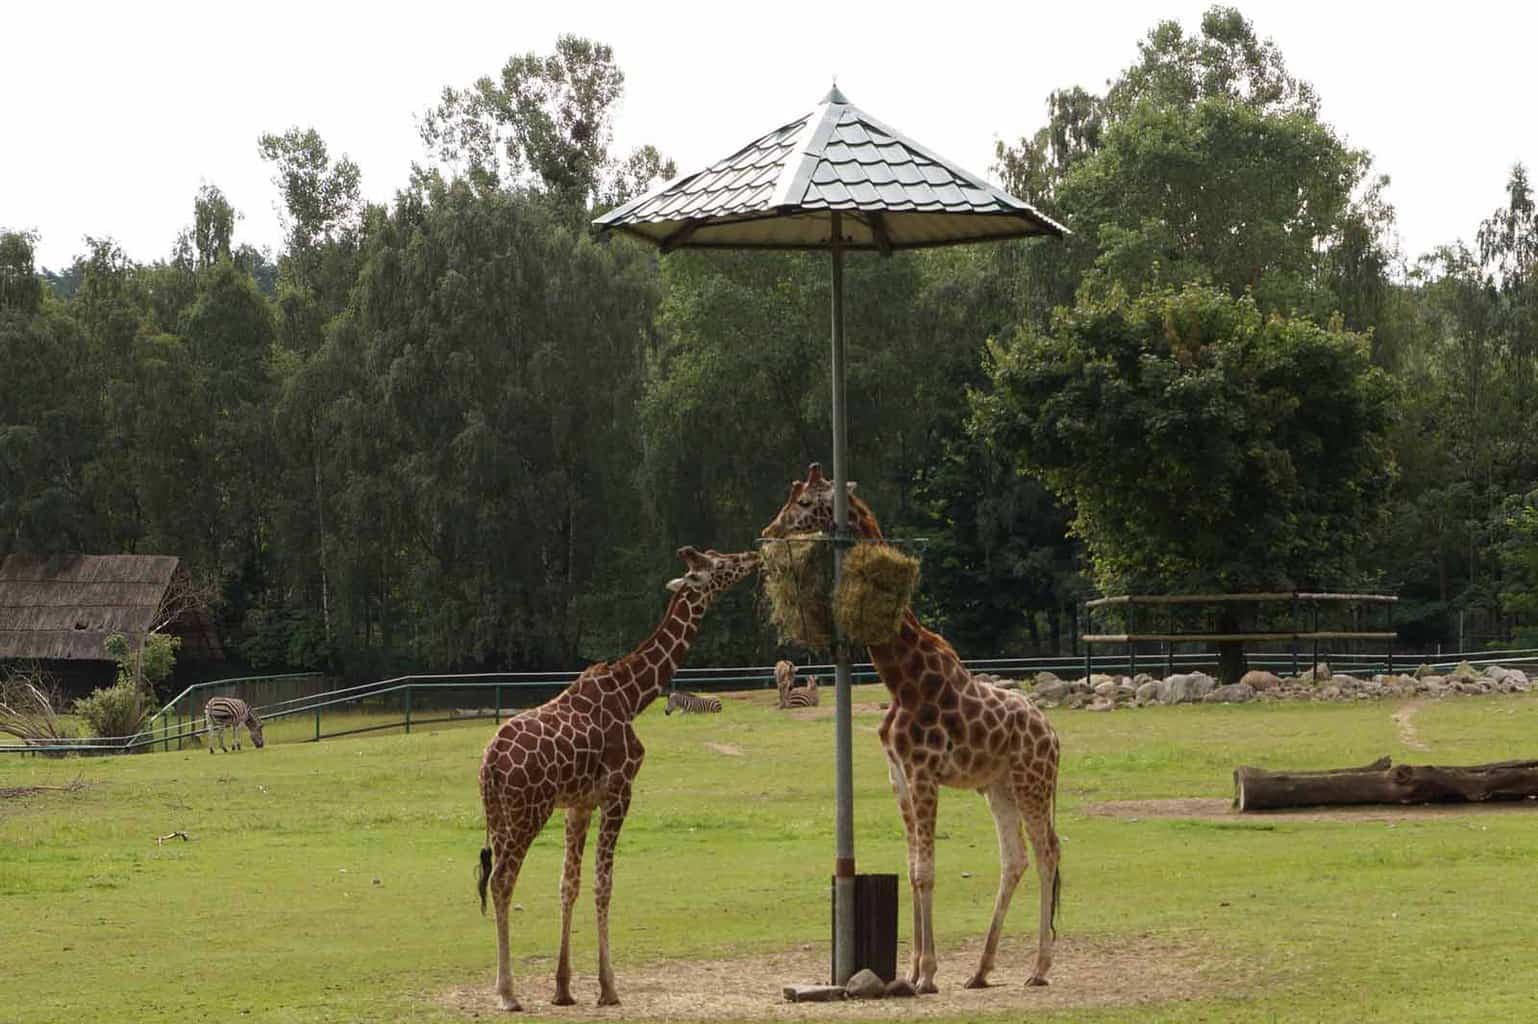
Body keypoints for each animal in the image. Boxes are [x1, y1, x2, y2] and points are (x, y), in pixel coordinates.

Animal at [470, 541, 753, 1002]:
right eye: (720, 564)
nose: (753, 557)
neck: (632, 695)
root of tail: (490, 761)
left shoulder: (580, 804)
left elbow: (568, 885)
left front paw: (563, 988)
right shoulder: (619, 790)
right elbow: (604, 884)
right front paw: (608, 987)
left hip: (497, 814)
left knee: (498, 877)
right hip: (529, 810)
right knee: (501, 879)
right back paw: (507, 993)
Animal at [765, 461, 1064, 990]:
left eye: (802, 502)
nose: (772, 529)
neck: (902, 680)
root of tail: (1054, 737)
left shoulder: (924, 773)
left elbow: (925, 869)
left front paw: (926, 974)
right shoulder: (899, 776)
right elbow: (910, 867)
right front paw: (910, 969)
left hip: (1032, 781)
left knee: (1047, 852)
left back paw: (1038, 968)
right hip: (999, 785)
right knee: (1015, 858)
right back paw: (981, 970)